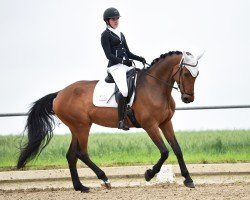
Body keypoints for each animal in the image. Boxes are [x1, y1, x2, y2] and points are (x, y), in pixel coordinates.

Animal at [16, 50, 203, 192]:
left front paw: (188, 179)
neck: (155, 87)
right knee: (82, 153)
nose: (188, 99)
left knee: (71, 155)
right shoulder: (150, 126)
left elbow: (177, 149)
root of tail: (59, 93)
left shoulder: (165, 123)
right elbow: (165, 151)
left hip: (77, 127)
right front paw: (149, 174)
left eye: (197, 75)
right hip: (82, 127)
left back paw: (80, 187)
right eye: (186, 73)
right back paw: (104, 179)